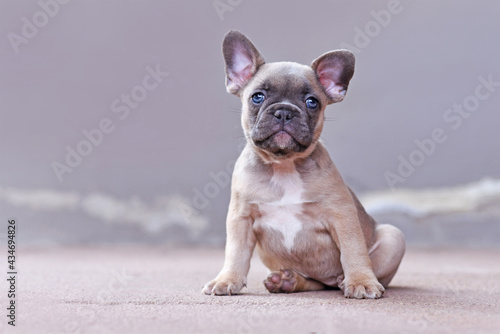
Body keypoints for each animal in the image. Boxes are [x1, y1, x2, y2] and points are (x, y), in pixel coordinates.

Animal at [201, 30, 404, 298]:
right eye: (257, 97)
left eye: (311, 102)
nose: (285, 112)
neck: (284, 164)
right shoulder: (240, 218)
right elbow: (235, 253)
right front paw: (226, 280)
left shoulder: (342, 216)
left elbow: (353, 251)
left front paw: (362, 281)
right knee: (313, 283)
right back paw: (287, 281)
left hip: (394, 237)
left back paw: (344, 280)